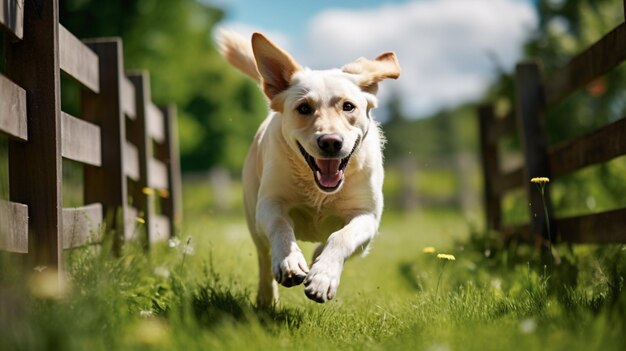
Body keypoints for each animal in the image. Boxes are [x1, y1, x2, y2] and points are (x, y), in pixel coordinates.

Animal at [217, 31, 398, 306]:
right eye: (304, 108)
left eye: (348, 106)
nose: (331, 141)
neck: (320, 192)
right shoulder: (269, 203)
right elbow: (281, 224)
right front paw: (290, 262)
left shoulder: (368, 216)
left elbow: (340, 236)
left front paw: (322, 275)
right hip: (252, 215)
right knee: (263, 255)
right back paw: (266, 298)